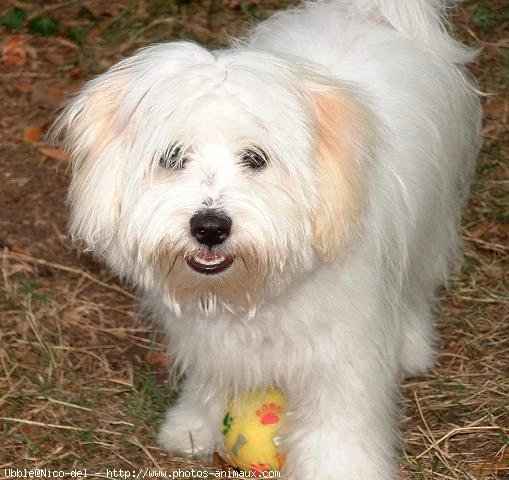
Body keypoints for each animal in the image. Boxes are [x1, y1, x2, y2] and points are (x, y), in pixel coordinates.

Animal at [53, 0, 482, 476]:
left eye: (255, 158)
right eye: (173, 157)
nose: (209, 226)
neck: (252, 292)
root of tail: (367, 16)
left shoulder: (341, 353)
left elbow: (338, 421)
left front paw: (337, 468)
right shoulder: (210, 338)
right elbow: (211, 379)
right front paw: (194, 425)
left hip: (432, 219)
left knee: (419, 281)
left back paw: (413, 345)